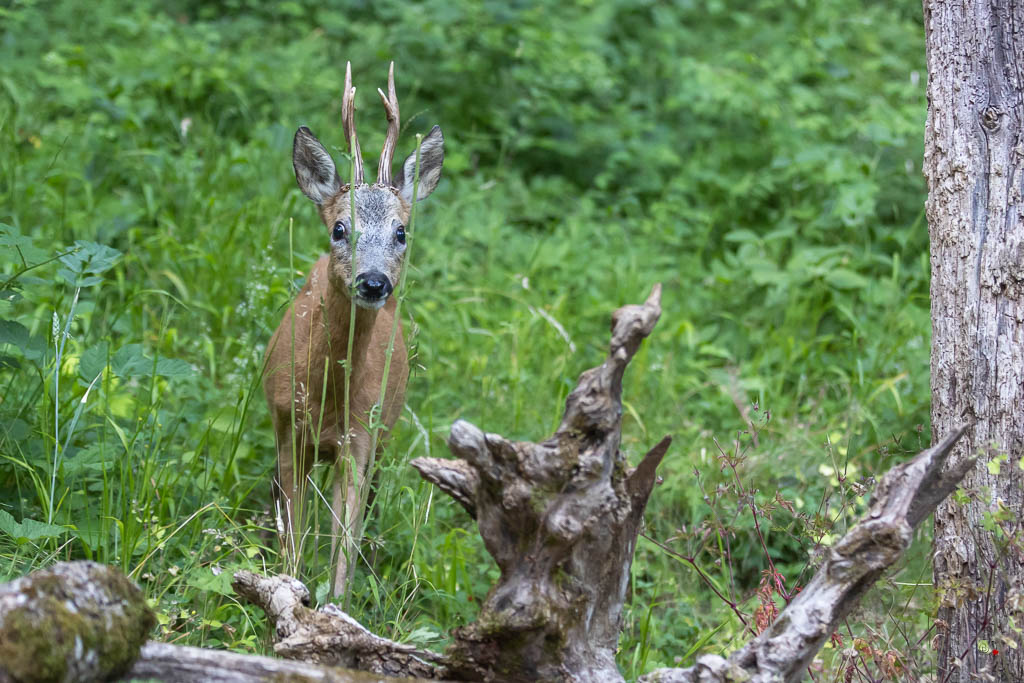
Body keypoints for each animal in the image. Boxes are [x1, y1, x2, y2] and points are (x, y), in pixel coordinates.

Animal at [264, 63, 444, 598]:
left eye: (402, 232)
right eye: (339, 228)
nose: (374, 281)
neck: (329, 402)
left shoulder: (361, 441)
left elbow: (343, 544)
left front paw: (332, 606)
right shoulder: (288, 429)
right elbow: (294, 533)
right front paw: (285, 585)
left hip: (386, 431)